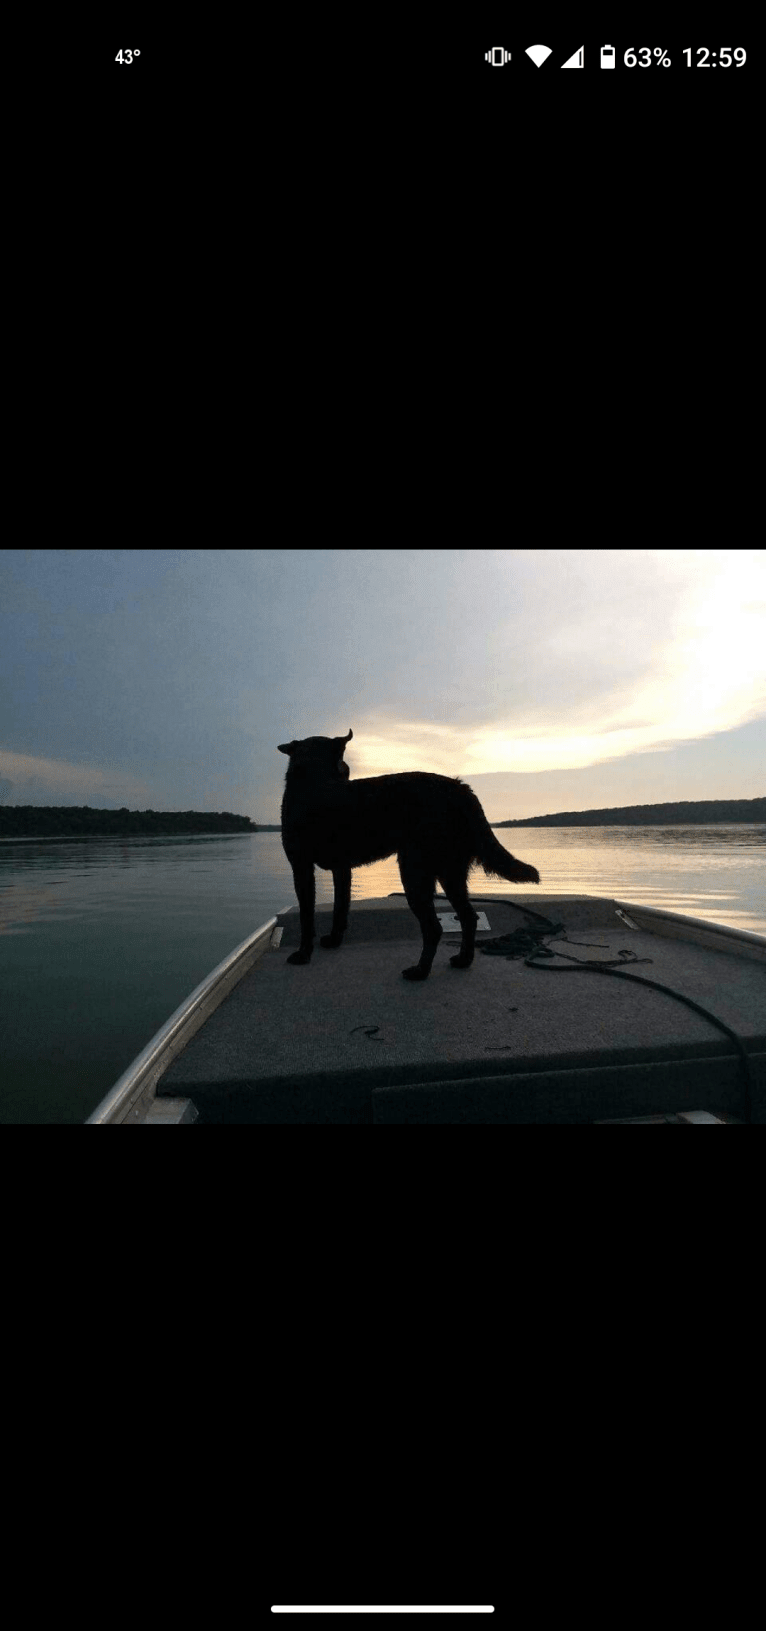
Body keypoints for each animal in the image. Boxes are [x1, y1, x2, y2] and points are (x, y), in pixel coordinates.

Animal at [277, 730, 537, 978]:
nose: (347, 770)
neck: (315, 781)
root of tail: (461, 789)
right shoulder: (341, 869)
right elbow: (340, 908)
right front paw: (333, 940)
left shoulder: (301, 867)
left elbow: (306, 917)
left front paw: (302, 954)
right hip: (450, 872)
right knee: (468, 917)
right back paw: (463, 960)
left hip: (415, 872)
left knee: (434, 928)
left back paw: (420, 971)